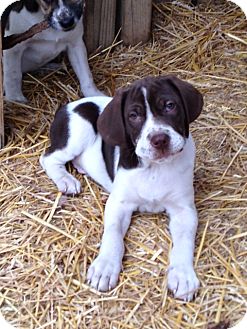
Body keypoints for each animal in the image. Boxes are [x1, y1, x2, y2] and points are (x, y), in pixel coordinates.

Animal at [40, 75, 203, 302]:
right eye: (133, 116)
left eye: (170, 106)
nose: (159, 139)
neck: (155, 168)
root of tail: (67, 106)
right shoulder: (119, 204)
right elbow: (113, 235)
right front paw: (105, 267)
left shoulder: (184, 211)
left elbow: (184, 243)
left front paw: (183, 276)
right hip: (78, 131)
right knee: (48, 158)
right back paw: (66, 180)